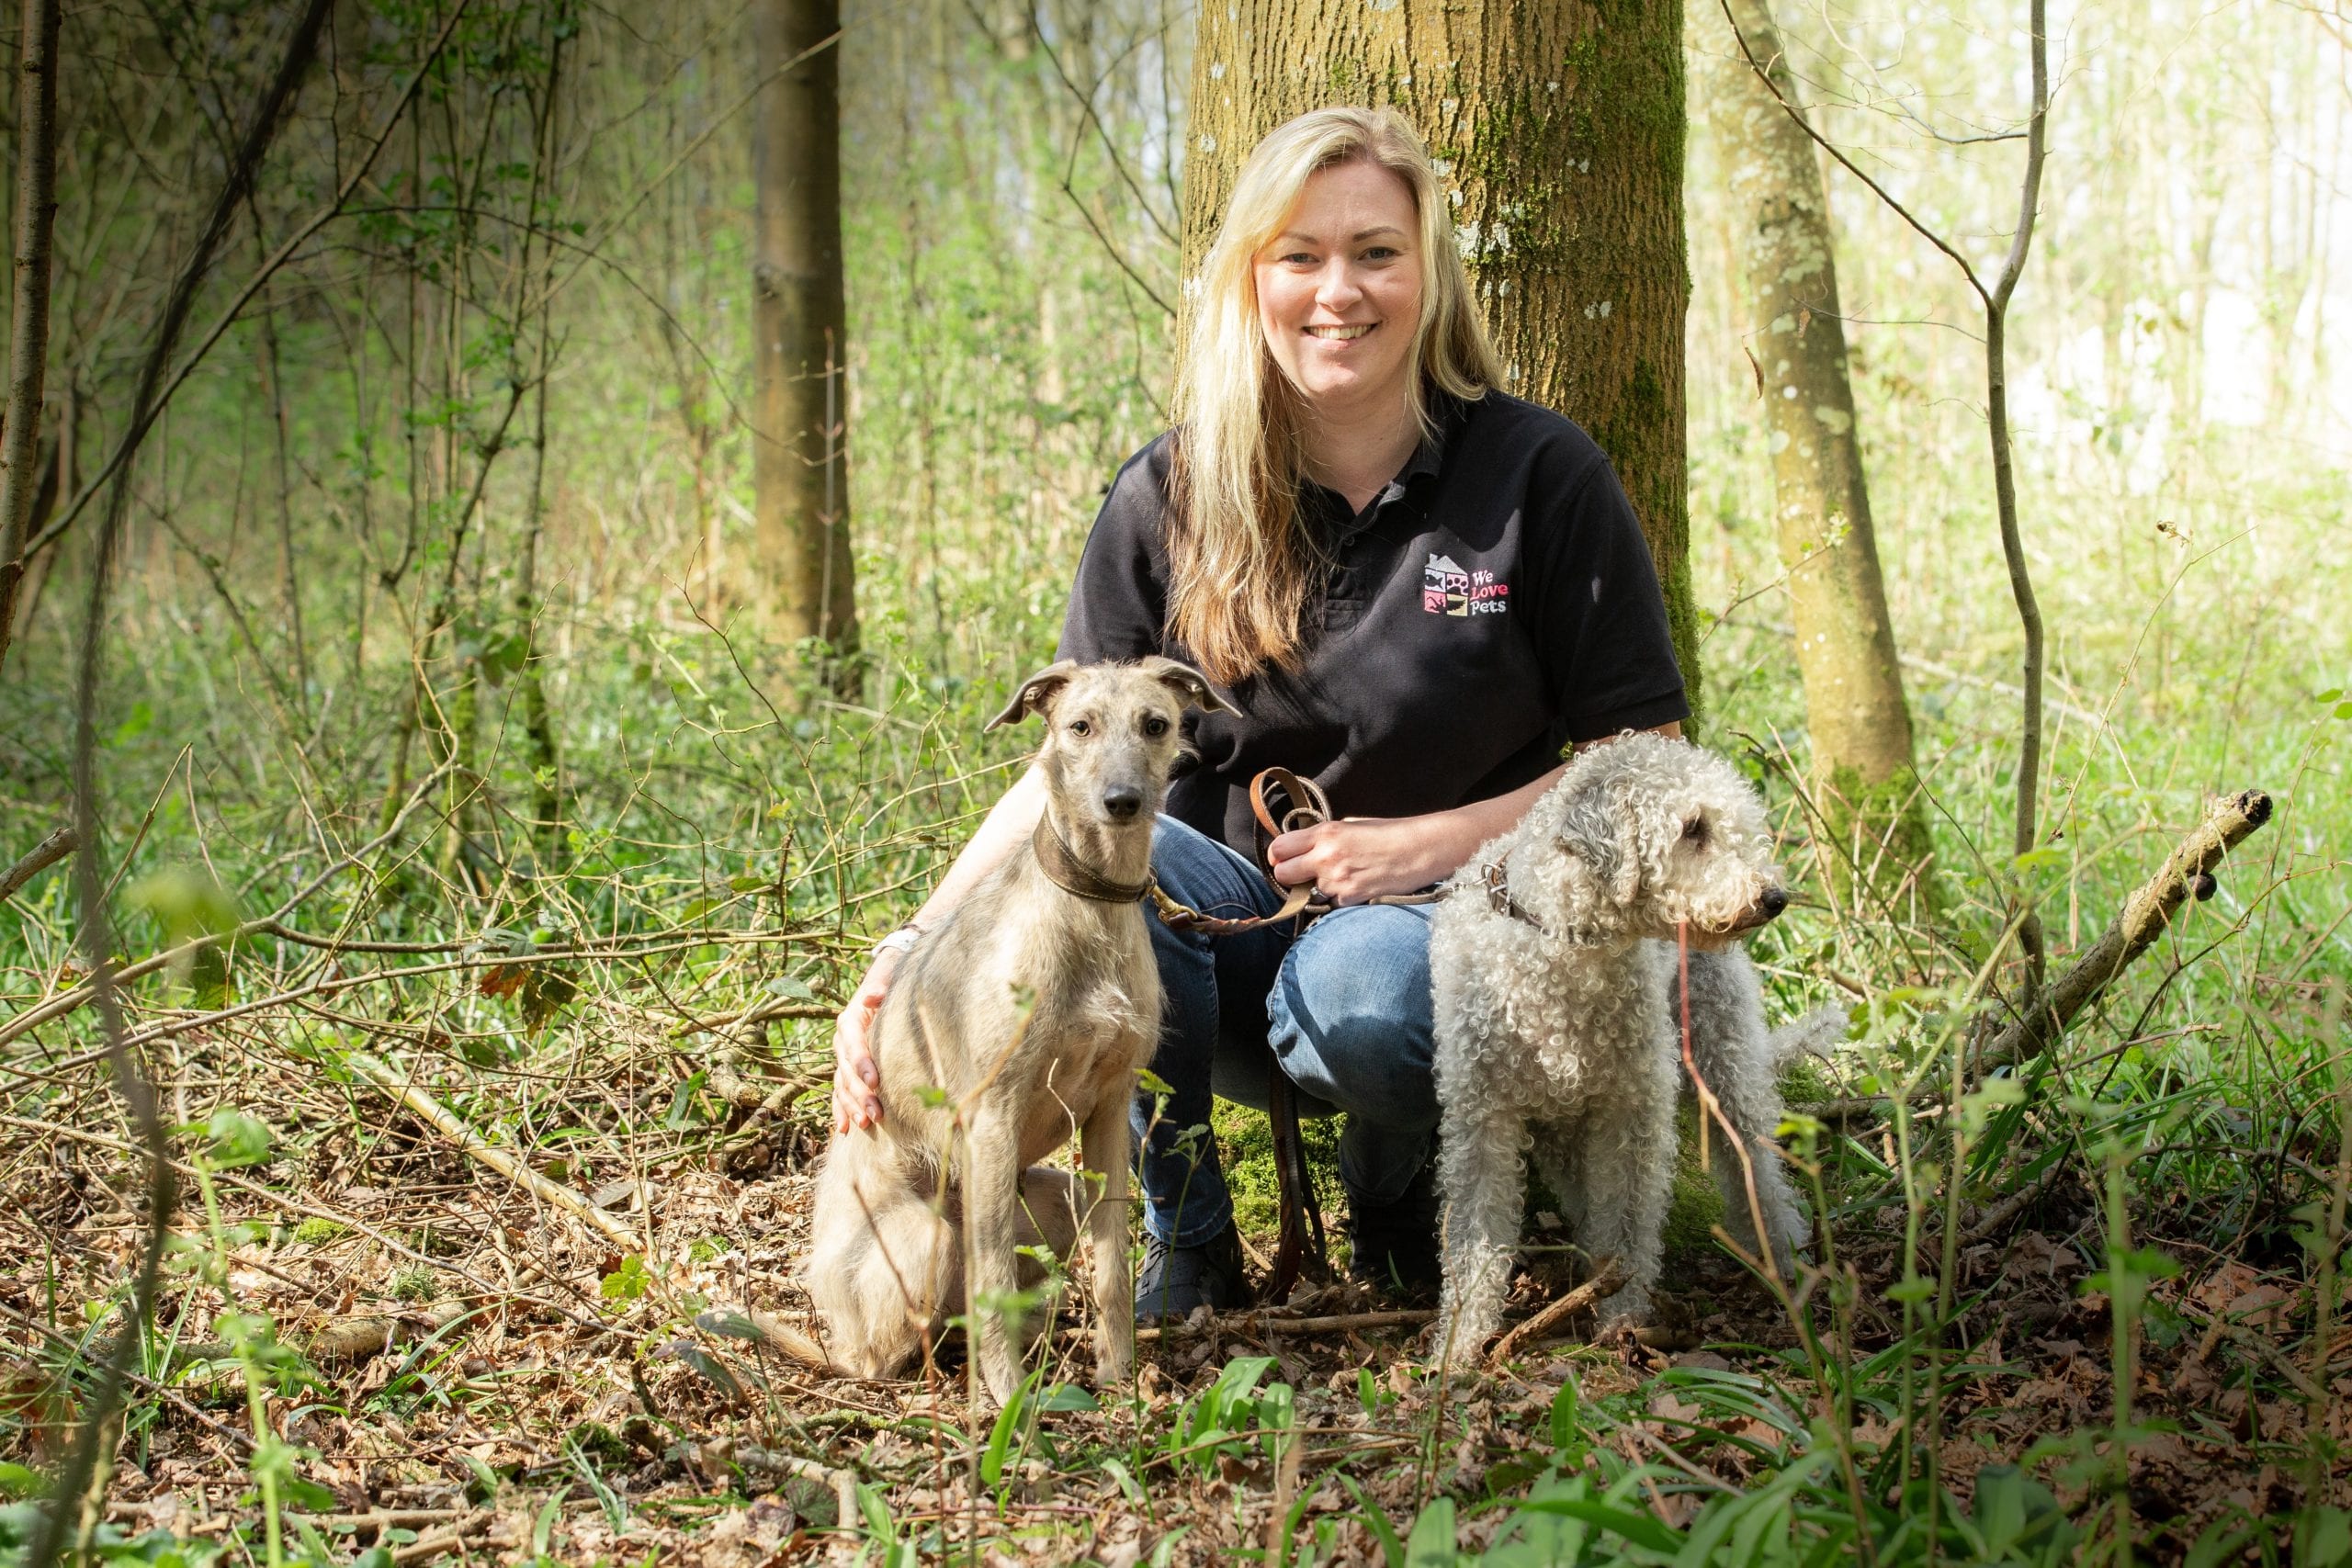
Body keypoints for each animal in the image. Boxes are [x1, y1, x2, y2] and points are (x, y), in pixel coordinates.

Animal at [799, 653, 1232, 1410]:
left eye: (1156, 724)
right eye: (1079, 726)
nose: (1122, 801)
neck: (1088, 906)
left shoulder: (1110, 1111)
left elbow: (1113, 1266)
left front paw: (1119, 1379)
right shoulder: (992, 1119)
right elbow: (994, 1277)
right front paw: (1007, 1401)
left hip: (1055, 1200)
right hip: (930, 1239)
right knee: (890, 1349)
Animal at [1420, 728, 1825, 1363]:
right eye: (1692, 828)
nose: (1775, 897)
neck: (1562, 940)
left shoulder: (1632, 1107)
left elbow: (1630, 1222)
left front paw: (1623, 1317)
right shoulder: (1481, 1119)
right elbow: (1473, 1237)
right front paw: (1458, 1344)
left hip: (1722, 1059)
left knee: (1754, 1166)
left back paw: (1781, 1253)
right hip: (1562, 1120)